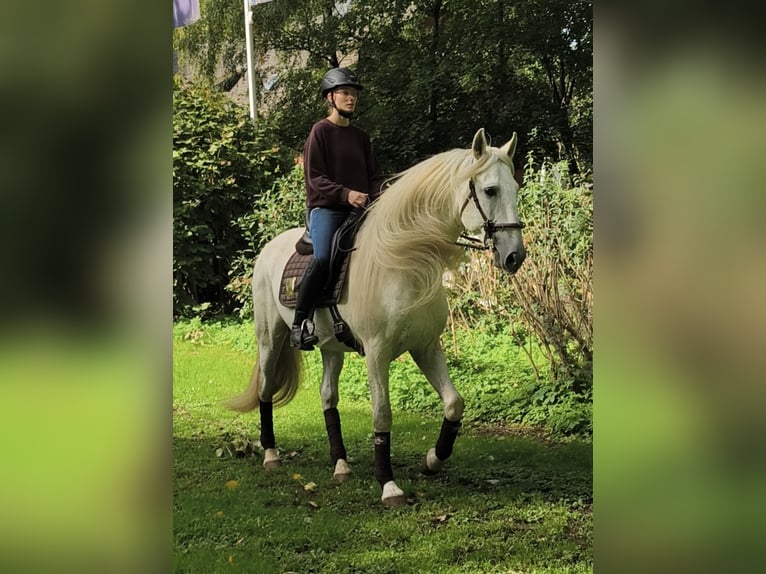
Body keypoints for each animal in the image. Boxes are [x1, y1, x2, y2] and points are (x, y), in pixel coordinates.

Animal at [224, 128, 526, 507]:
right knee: (266, 390)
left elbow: (454, 403)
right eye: (490, 190)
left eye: (515, 187)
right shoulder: (377, 353)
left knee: (327, 396)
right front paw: (389, 485)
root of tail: (268, 248)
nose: (515, 256)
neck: (403, 260)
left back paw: (341, 465)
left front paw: (433, 460)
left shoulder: (426, 347)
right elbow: (382, 414)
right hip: (270, 338)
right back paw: (271, 455)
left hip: (332, 348)